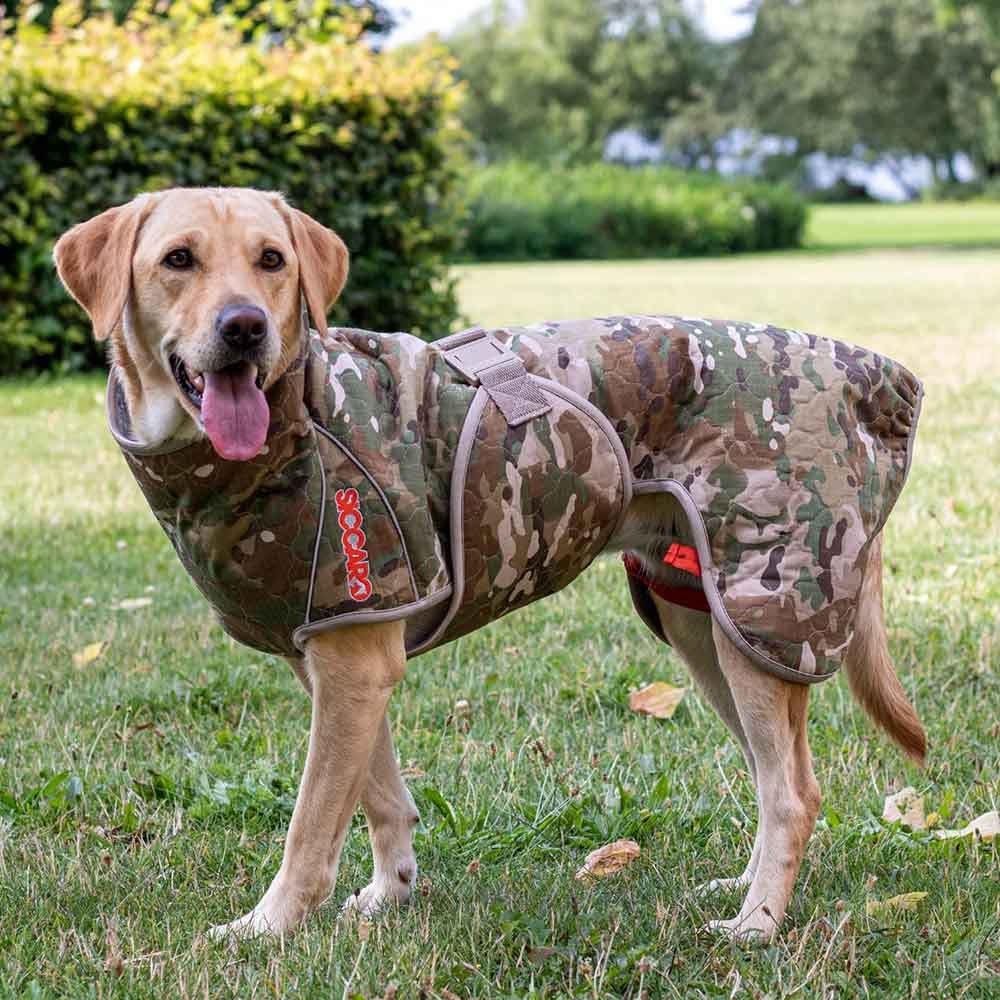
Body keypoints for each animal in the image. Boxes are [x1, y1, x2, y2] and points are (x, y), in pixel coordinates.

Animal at [54, 187, 926, 942]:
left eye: (272, 260)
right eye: (178, 259)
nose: (245, 327)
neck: (296, 413)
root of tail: (873, 374)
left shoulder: (353, 662)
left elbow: (310, 824)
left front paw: (267, 928)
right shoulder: (341, 654)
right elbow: (379, 796)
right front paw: (390, 894)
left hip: (762, 616)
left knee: (795, 793)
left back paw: (758, 924)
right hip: (710, 626)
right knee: (772, 773)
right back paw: (746, 889)